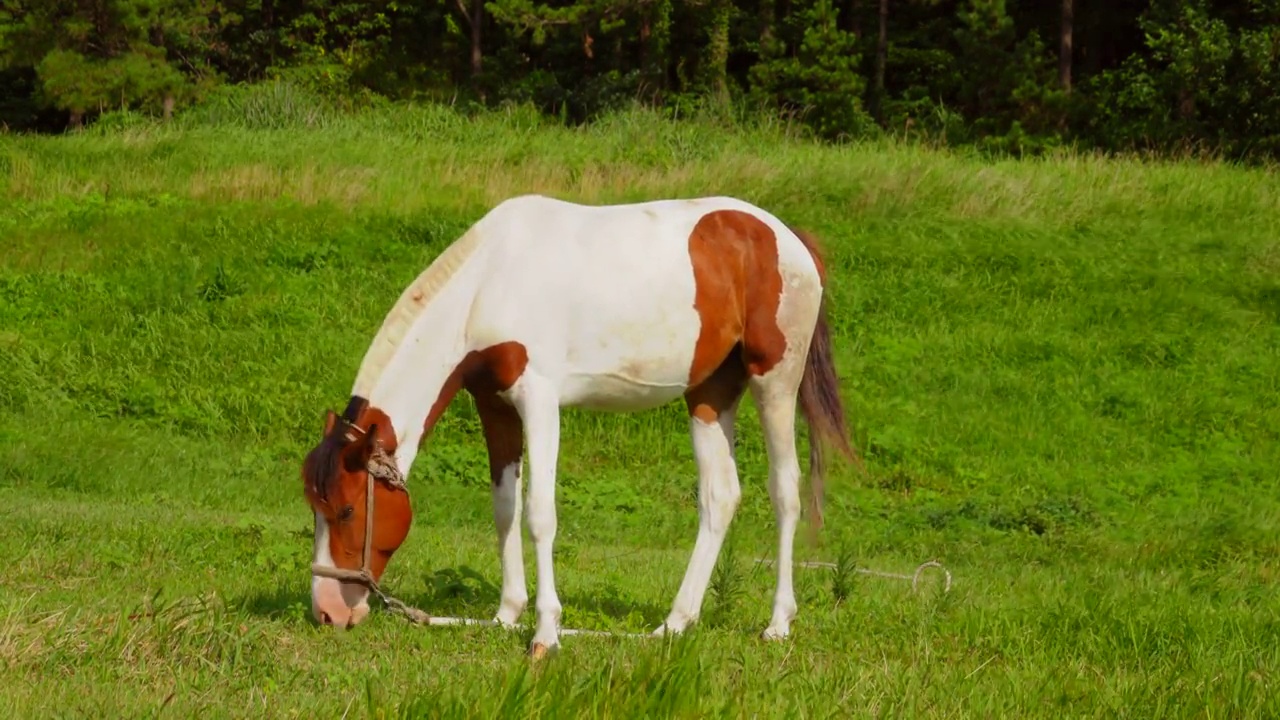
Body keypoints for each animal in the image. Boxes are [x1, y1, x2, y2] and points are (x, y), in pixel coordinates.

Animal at [299, 193, 860, 653]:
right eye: (315, 508)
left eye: (347, 509)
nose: (327, 612)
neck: (490, 282)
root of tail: (788, 238)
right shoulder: (495, 405)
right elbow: (505, 509)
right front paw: (507, 614)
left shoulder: (539, 401)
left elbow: (539, 513)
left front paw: (546, 632)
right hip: (709, 395)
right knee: (720, 498)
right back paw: (674, 624)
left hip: (775, 383)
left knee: (785, 493)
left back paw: (778, 623)